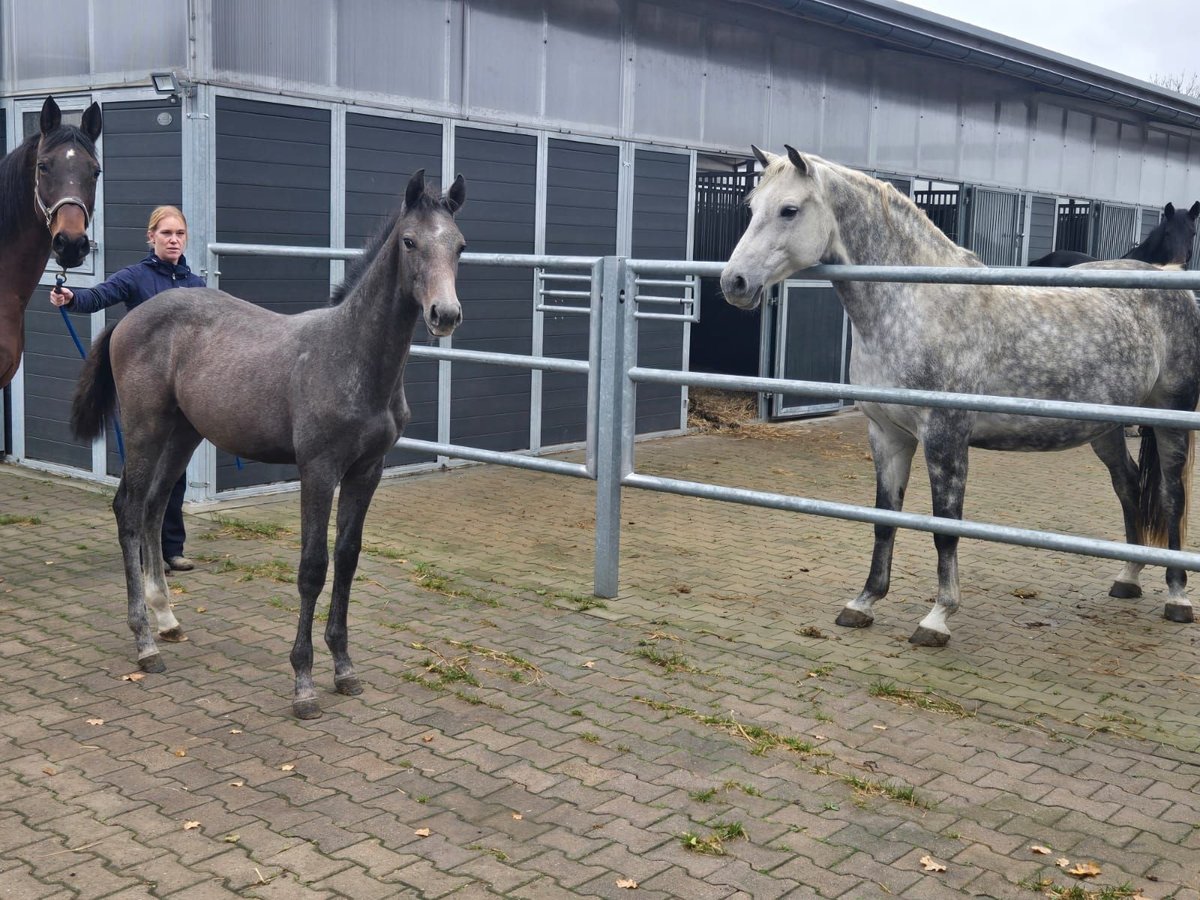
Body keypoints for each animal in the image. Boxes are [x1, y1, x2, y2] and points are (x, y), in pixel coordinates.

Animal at [720, 146, 1200, 648]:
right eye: (752, 207)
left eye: (789, 210)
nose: (734, 282)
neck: (919, 306)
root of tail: (1171, 280)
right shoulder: (887, 435)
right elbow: (884, 518)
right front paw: (864, 602)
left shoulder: (945, 437)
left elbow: (945, 528)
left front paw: (937, 617)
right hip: (1105, 427)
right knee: (1128, 484)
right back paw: (1128, 577)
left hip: (1169, 416)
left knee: (1171, 494)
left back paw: (1177, 597)